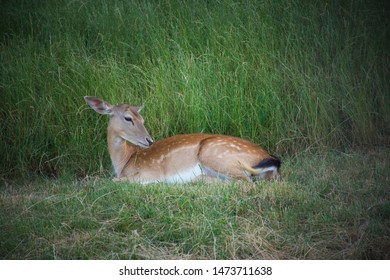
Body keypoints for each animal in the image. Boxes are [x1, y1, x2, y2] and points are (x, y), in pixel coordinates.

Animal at [84, 96, 280, 184]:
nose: (149, 140)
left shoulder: (150, 172)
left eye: (142, 119)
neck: (124, 161)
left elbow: (114, 181)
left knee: (244, 183)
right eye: (128, 118)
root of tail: (272, 160)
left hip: (215, 154)